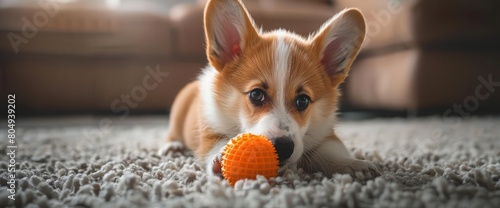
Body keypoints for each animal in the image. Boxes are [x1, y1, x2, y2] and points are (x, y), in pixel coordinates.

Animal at [159, 0, 378, 179]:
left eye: (303, 100)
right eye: (256, 94)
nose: (283, 148)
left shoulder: (324, 134)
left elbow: (330, 151)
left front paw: (354, 165)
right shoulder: (209, 132)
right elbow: (217, 143)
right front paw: (222, 157)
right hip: (177, 115)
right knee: (171, 133)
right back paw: (172, 147)